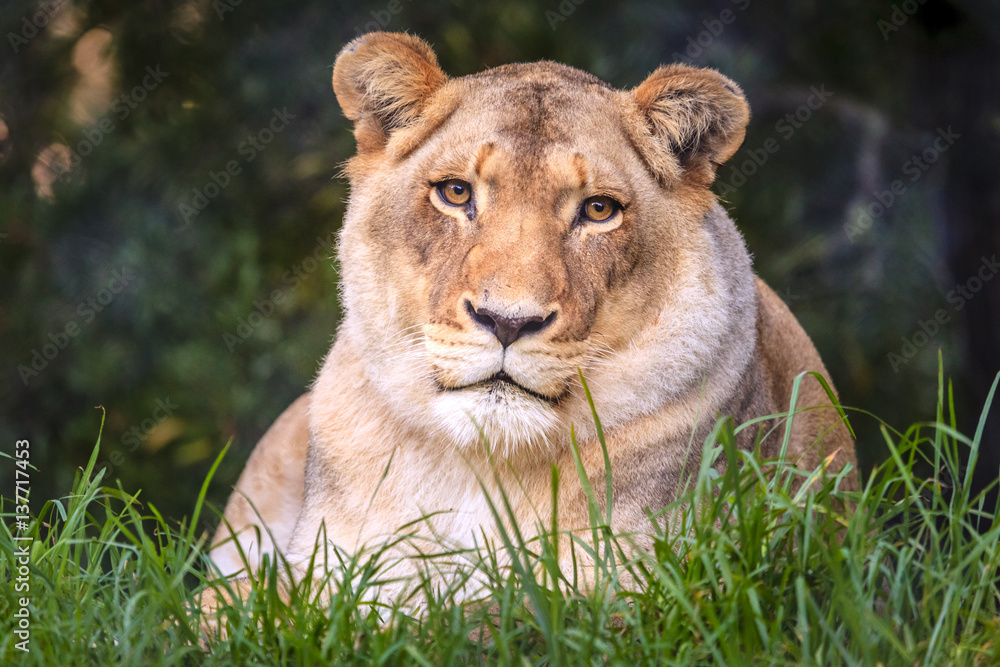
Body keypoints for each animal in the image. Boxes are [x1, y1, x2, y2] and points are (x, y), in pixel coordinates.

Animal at [207, 32, 855, 604]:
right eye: (456, 193)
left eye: (599, 210)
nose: (507, 321)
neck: (480, 471)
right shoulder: (322, 573)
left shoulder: (646, 590)